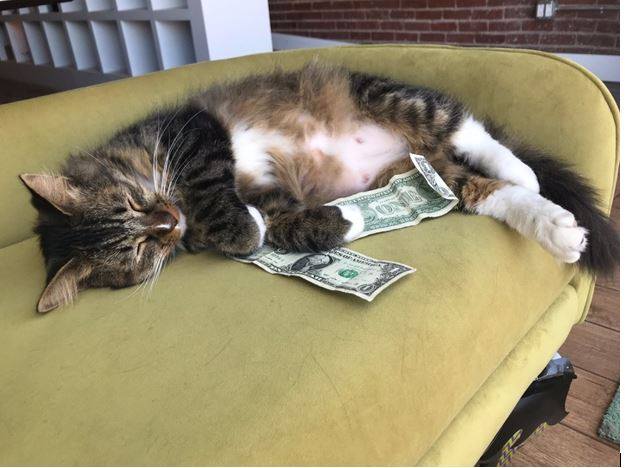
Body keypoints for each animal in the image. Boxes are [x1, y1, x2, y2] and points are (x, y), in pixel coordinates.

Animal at [20, 62, 618, 313]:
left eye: (134, 203)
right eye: (141, 250)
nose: (168, 222)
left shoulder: (193, 133)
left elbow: (216, 195)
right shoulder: (265, 195)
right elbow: (282, 223)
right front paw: (349, 219)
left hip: (391, 97)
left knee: (472, 131)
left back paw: (522, 170)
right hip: (422, 171)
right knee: (480, 192)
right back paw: (557, 227)